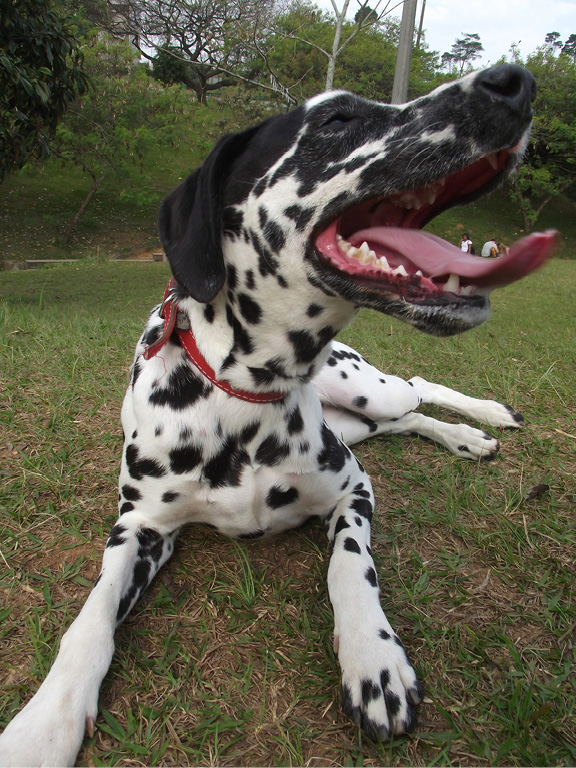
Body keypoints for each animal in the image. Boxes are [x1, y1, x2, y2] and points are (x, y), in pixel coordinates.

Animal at [0, 63, 560, 764]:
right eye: (337, 119)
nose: (514, 81)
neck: (241, 396)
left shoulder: (353, 488)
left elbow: (351, 567)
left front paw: (373, 660)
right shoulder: (139, 527)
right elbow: (91, 616)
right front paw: (43, 723)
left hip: (369, 391)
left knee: (418, 385)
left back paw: (479, 421)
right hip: (363, 419)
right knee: (409, 415)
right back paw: (466, 437)